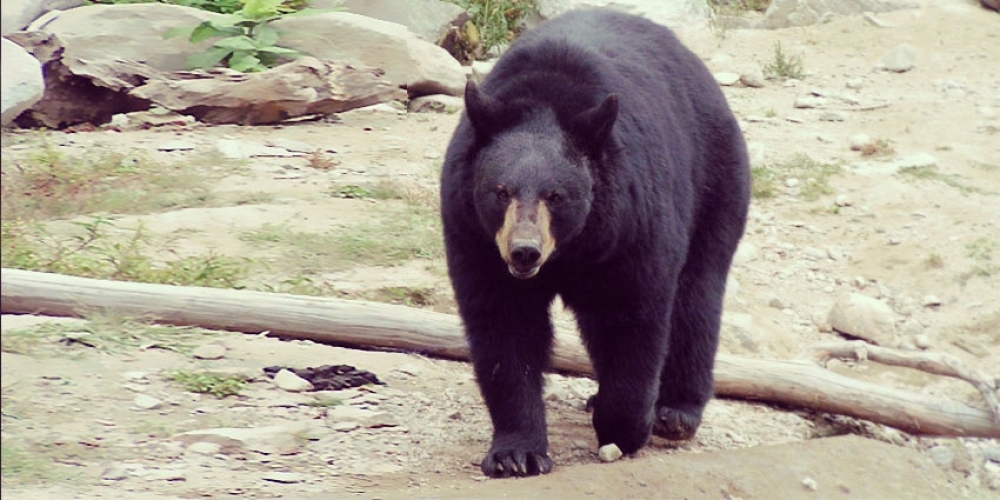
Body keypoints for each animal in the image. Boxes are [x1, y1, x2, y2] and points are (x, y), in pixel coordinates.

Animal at [440, 6, 752, 476]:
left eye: (556, 195)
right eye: (500, 191)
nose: (524, 251)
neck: (572, 248)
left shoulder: (631, 227)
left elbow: (632, 317)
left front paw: (625, 428)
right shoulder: (474, 235)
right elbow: (503, 325)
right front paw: (516, 453)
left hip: (716, 180)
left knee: (696, 296)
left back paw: (676, 411)